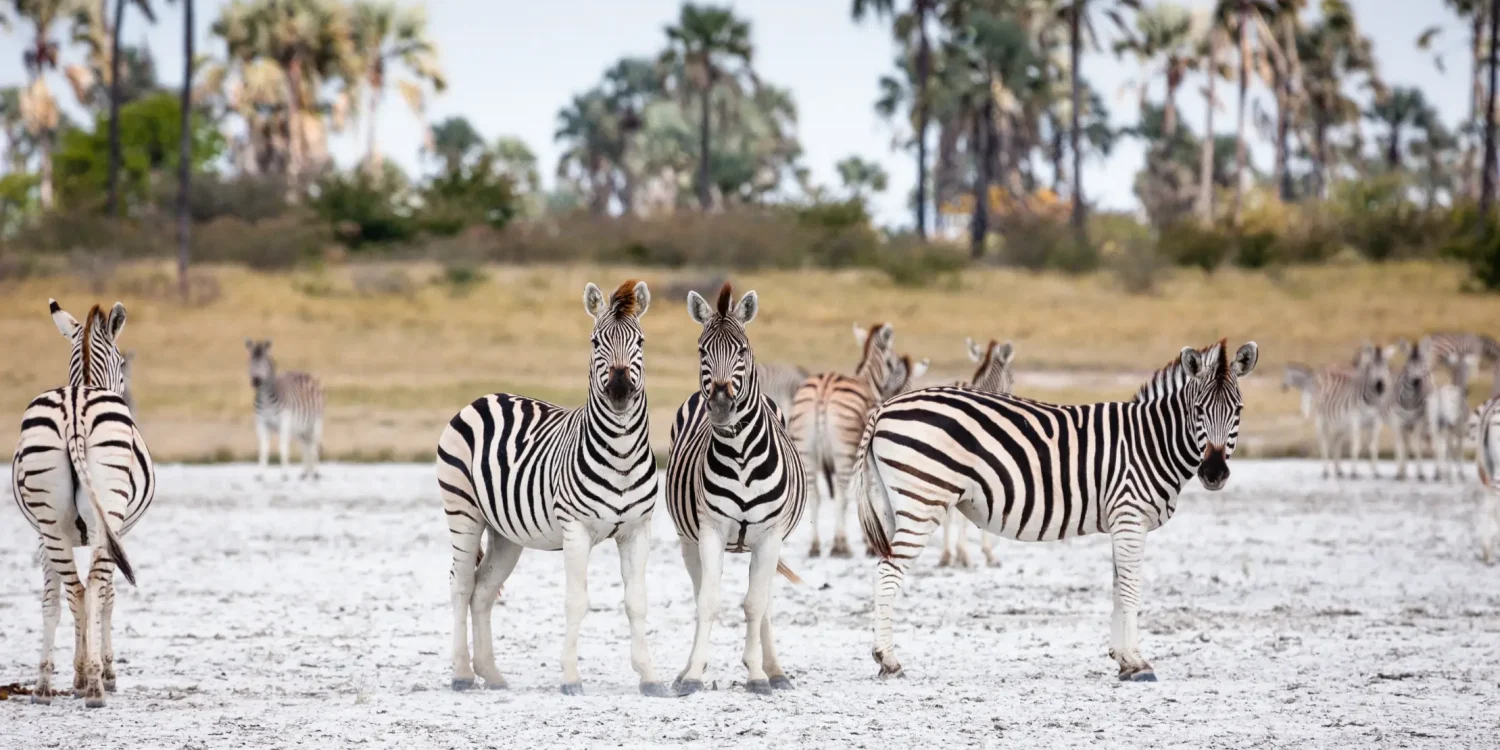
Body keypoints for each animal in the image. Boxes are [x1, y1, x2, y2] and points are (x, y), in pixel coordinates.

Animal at [12, 299, 155, 708]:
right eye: (122, 361)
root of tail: (75, 406)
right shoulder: (117, 530)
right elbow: (107, 597)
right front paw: (106, 672)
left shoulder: (42, 535)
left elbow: (53, 599)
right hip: (106, 515)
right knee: (91, 588)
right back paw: (93, 686)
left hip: (51, 524)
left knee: (73, 590)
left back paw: (48, 686)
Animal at [244, 339, 325, 480]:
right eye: (251, 362)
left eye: (265, 363)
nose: (256, 381)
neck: (265, 400)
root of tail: (304, 374)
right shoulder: (260, 423)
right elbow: (263, 449)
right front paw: (260, 475)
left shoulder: (284, 423)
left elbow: (283, 448)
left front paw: (284, 475)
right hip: (299, 428)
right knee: (305, 446)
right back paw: (305, 473)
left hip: (315, 424)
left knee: (314, 446)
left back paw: (315, 473)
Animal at [434, 280, 667, 697]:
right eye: (595, 341)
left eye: (640, 341)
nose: (620, 390)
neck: (622, 454)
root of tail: (484, 397)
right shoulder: (576, 529)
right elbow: (576, 601)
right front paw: (571, 678)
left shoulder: (638, 530)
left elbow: (637, 601)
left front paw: (650, 677)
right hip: (463, 510)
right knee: (460, 584)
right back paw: (461, 673)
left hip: (505, 532)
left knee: (482, 590)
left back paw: (491, 674)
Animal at [665, 283, 806, 696]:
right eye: (701, 350)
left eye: (742, 350)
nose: (721, 406)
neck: (741, 454)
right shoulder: (711, 531)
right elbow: (708, 602)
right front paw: (693, 675)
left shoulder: (770, 535)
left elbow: (755, 605)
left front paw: (758, 674)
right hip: (687, 538)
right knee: (702, 591)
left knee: (765, 602)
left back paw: (775, 670)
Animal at [789, 322, 909, 558]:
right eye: (892, 362)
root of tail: (824, 385)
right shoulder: (867, 459)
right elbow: (868, 493)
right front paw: (871, 544)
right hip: (842, 451)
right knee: (842, 495)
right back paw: (840, 544)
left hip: (807, 450)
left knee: (814, 495)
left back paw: (815, 545)